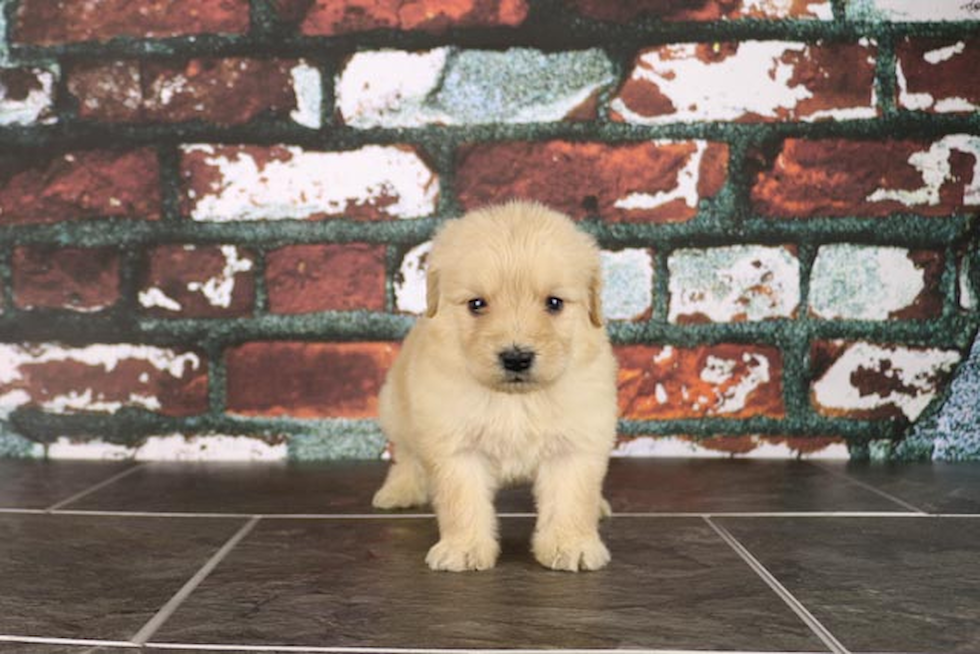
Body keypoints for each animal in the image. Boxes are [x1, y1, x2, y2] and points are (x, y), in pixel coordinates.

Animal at [372, 201, 616, 576]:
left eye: (554, 303)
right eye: (477, 304)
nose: (516, 358)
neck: (514, 400)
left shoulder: (576, 444)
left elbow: (572, 500)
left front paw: (570, 544)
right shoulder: (456, 447)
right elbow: (462, 501)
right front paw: (463, 548)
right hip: (397, 410)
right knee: (407, 456)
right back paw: (399, 491)